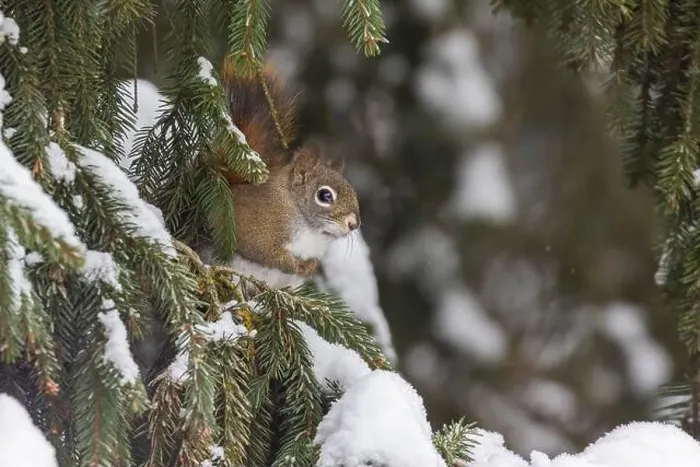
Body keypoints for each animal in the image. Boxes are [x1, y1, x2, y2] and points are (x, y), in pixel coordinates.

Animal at [213, 61, 361, 289]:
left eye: (354, 193)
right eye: (325, 195)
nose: (354, 224)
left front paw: (309, 266)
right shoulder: (251, 224)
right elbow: (261, 249)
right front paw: (293, 263)